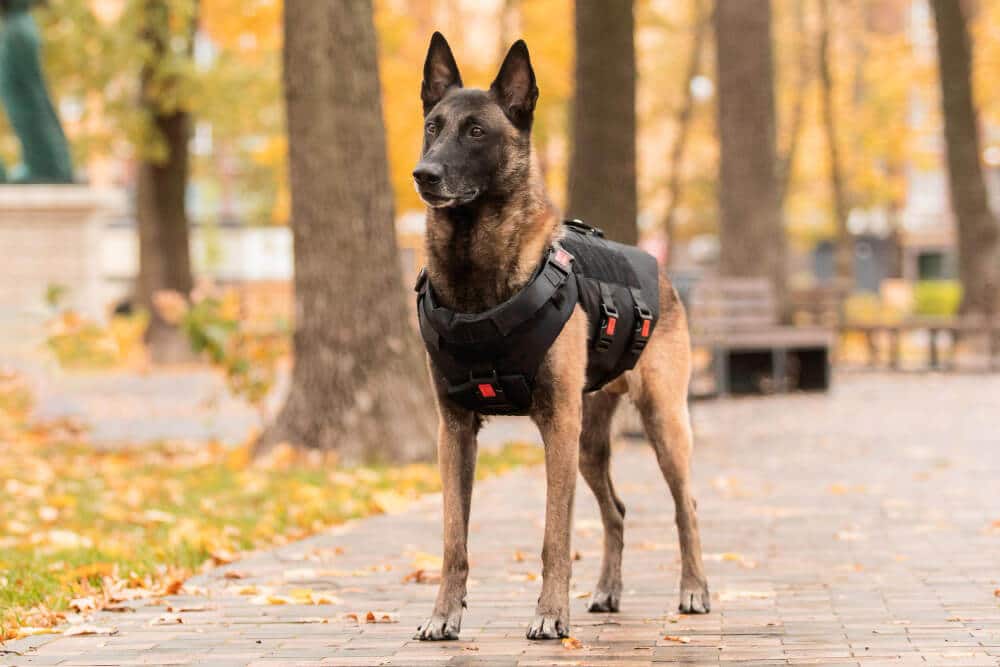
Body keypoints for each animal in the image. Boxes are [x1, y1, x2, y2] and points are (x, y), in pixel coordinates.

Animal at [414, 32, 712, 640]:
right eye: (433, 125)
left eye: (476, 132)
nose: (423, 174)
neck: (477, 280)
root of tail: (664, 273)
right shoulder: (454, 429)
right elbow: (454, 539)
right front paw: (443, 615)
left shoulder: (556, 424)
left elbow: (556, 535)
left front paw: (551, 614)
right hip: (589, 444)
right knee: (616, 511)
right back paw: (607, 590)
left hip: (660, 424)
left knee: (685, 506)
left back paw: (693, 590)